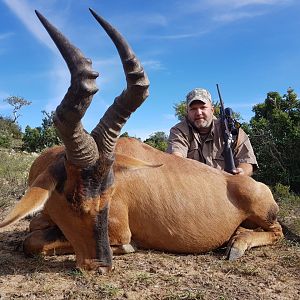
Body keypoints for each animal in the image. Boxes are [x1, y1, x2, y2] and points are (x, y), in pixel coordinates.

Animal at [0, 9, 282, 274]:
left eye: (110, 195)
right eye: (72, 199)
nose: (101, 266)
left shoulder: (119, 231)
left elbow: (32, 242)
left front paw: (127, 248)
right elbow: (33, 227)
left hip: (264, 213)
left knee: (277, 230)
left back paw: (237, 244)